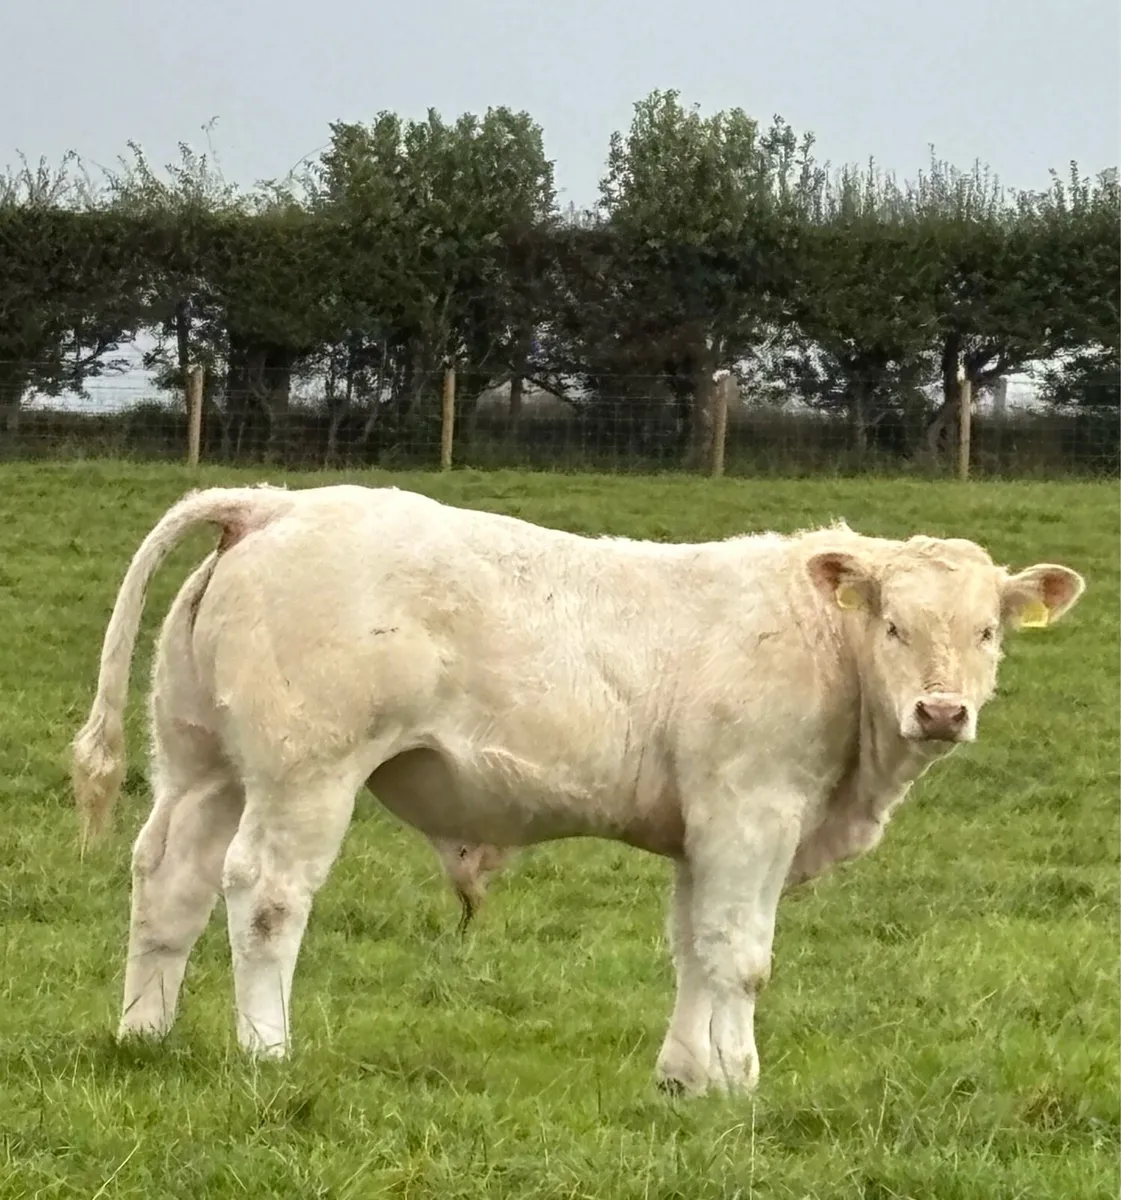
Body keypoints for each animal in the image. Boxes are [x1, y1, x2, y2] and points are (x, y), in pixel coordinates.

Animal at [71, 483, 1084, 1095]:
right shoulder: (750, 812)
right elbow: (738, 954)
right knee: (266, 895)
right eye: (893, 624)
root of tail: (273, 503)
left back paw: (142, 1036)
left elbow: (690, 946)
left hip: (201, 765)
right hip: (303, 772)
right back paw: (267, 1052)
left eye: (988, 631)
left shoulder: (702, 831)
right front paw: (737, 1081)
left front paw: (682, 1078)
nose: (942, 712)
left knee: (169, 883)